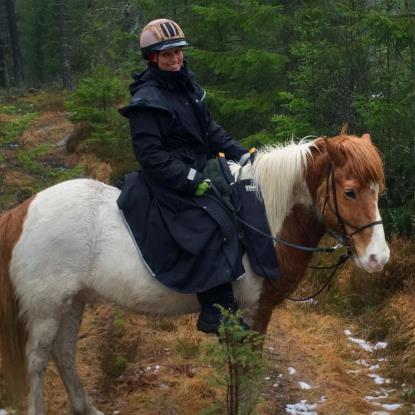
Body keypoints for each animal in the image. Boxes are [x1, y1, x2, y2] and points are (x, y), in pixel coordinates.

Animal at [0, 133, 390, 415]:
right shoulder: (256, 312)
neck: (263, 220)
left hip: (72, 301)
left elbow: (237, 373)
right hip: (47, 307)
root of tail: (23, 210)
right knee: (37, 361)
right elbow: (249, 373)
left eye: (378, 191)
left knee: (64, 352)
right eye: (350, 192)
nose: (378, 258)